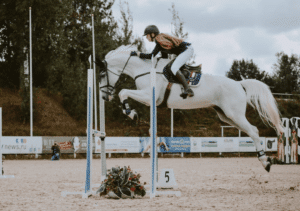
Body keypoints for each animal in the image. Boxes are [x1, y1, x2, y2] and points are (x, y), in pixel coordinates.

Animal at [97, 44, 284, 171]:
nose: (104, 96)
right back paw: (264, 159)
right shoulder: (150, 101)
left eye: (102, 74)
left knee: (253, 131)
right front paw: (133, 115)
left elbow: (123, 92)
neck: (144, 69)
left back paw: (265, 161)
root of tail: (239, 84)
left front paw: (131, 113)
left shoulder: (148, 95)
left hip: (234, 114)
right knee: (252, 130)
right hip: (226, 116)